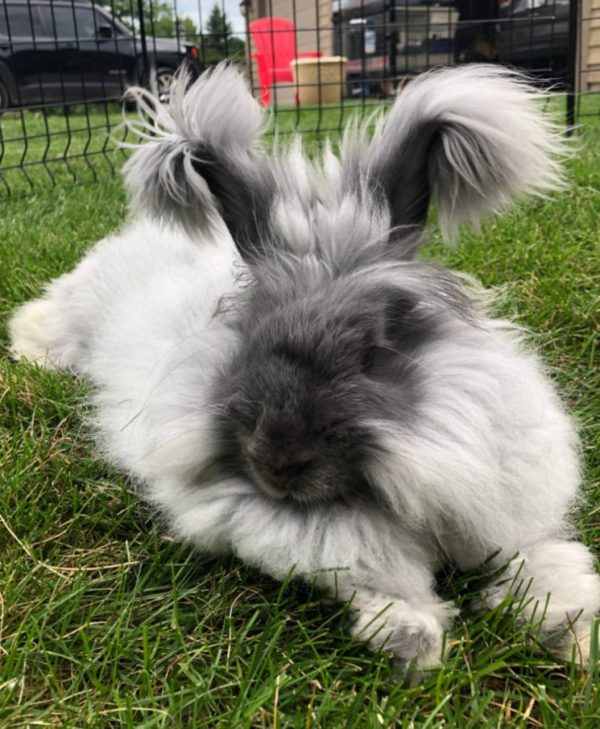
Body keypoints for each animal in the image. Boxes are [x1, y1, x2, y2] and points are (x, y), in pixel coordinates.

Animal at [9, 64, 600, 672]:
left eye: (372, 354)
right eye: (248, 346)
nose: (277, 464)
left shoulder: (511, 501)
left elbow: (543, 558)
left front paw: (569, 634)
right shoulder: (274, 518)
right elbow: (372, 560)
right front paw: (411, 641)